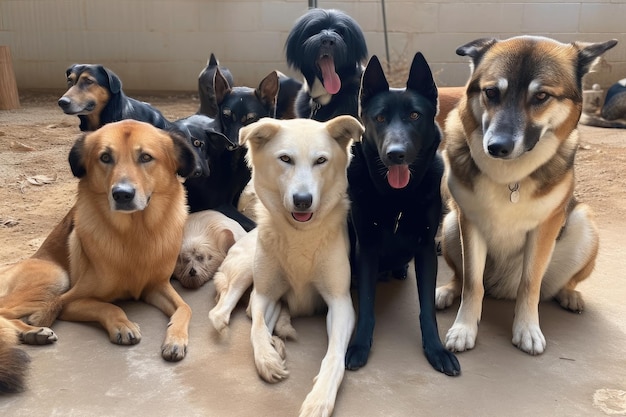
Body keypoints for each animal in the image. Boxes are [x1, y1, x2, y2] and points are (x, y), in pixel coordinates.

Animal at [0, 119, 197, 390]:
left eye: (146, 157)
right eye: (105, 157)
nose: (122, 194)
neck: (135, 235)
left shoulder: (157, 286)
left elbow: (185, 307)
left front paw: (176, 339)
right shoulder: (69, 301)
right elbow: (107, 306)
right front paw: (123, 325)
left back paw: (30, 333)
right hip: (56, 277)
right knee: (3, 310)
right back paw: (32, 330)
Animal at [208, 116, 360, 416]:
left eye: (321, 160)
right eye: (285, 159)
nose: (302, 200)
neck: (300, 234)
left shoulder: (340, 302)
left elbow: (334, 355)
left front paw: (319, 398)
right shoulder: (264, 293)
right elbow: (255, 328)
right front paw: (267, 359)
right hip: (246, 269)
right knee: (223, 313)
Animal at [434, 35, 616, 354]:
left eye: (541, 96)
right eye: (491, 92)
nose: (496, 147)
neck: (510, 177)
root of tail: (500, 289)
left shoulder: (545, 228)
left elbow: (530, 283)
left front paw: (527, 329)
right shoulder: (469, 223)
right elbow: (472, 282)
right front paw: (464, 328)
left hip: (584, 225)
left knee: (556, 283)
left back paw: (569, 295)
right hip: (451, 224)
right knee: (462, 277)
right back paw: (446, 291)